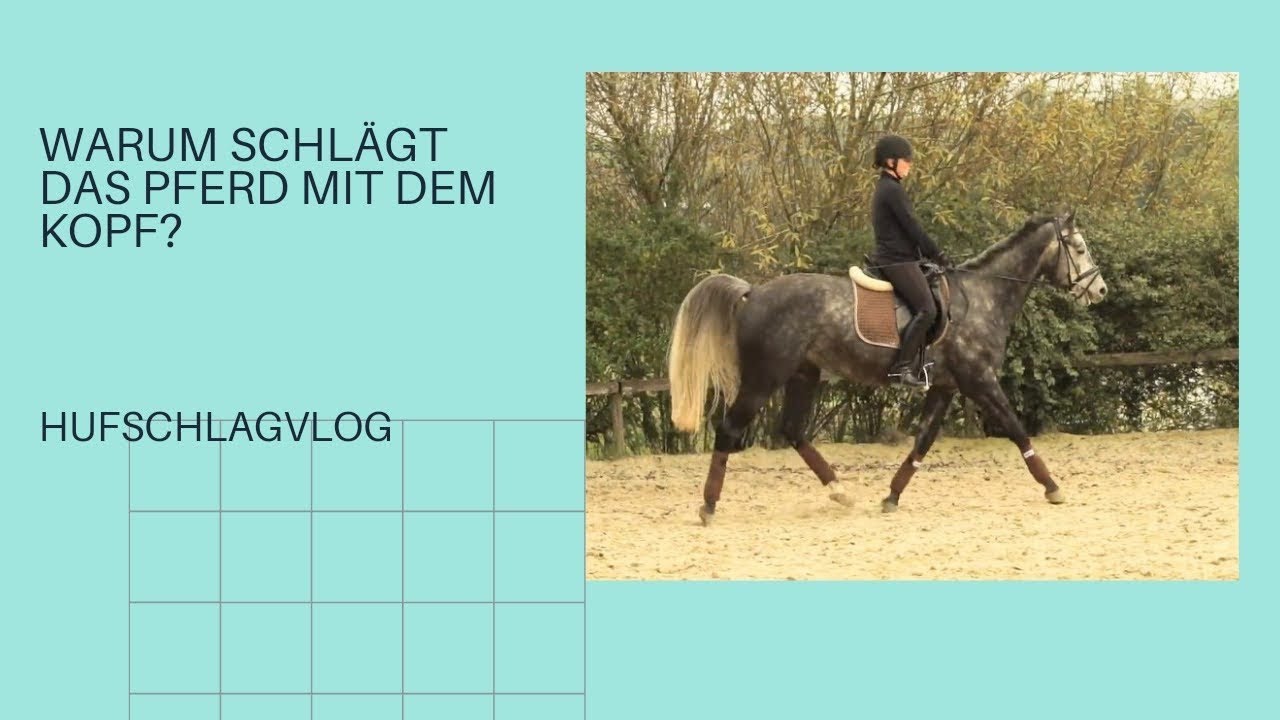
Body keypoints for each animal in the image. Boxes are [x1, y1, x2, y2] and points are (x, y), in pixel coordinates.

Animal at [666, 211, 1107, 524]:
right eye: (1078, 247)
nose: (1100, 290)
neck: (982, 296)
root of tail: (753, 292)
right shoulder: (979, 381)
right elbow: (1017, 430)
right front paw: (1052, 486)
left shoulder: (945, 386)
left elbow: (923, 442)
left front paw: (891, 496)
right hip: (764, 378)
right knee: (729, 429)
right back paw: (708, 506)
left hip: (803, 375)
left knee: (792, 430)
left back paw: (840, 491)